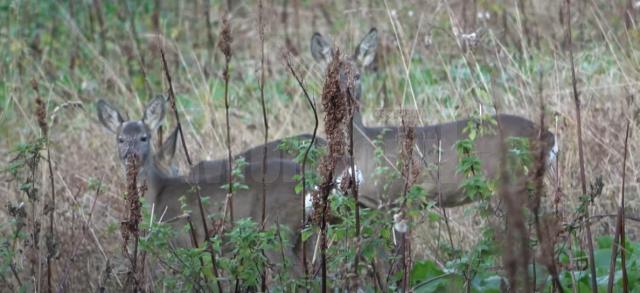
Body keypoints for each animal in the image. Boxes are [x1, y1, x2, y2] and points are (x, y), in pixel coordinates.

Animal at [95, 97, 312, 274]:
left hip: (277, 230)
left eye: (144, 137)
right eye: (120, 139)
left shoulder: (185, 239)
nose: (130, 156)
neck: (158, 194)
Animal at [308, 28, 556, 208]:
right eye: (329, 76)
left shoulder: (390, 196)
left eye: (358, 75)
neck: (361, 146)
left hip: (513, 182)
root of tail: (549, 136)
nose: (342, 98)